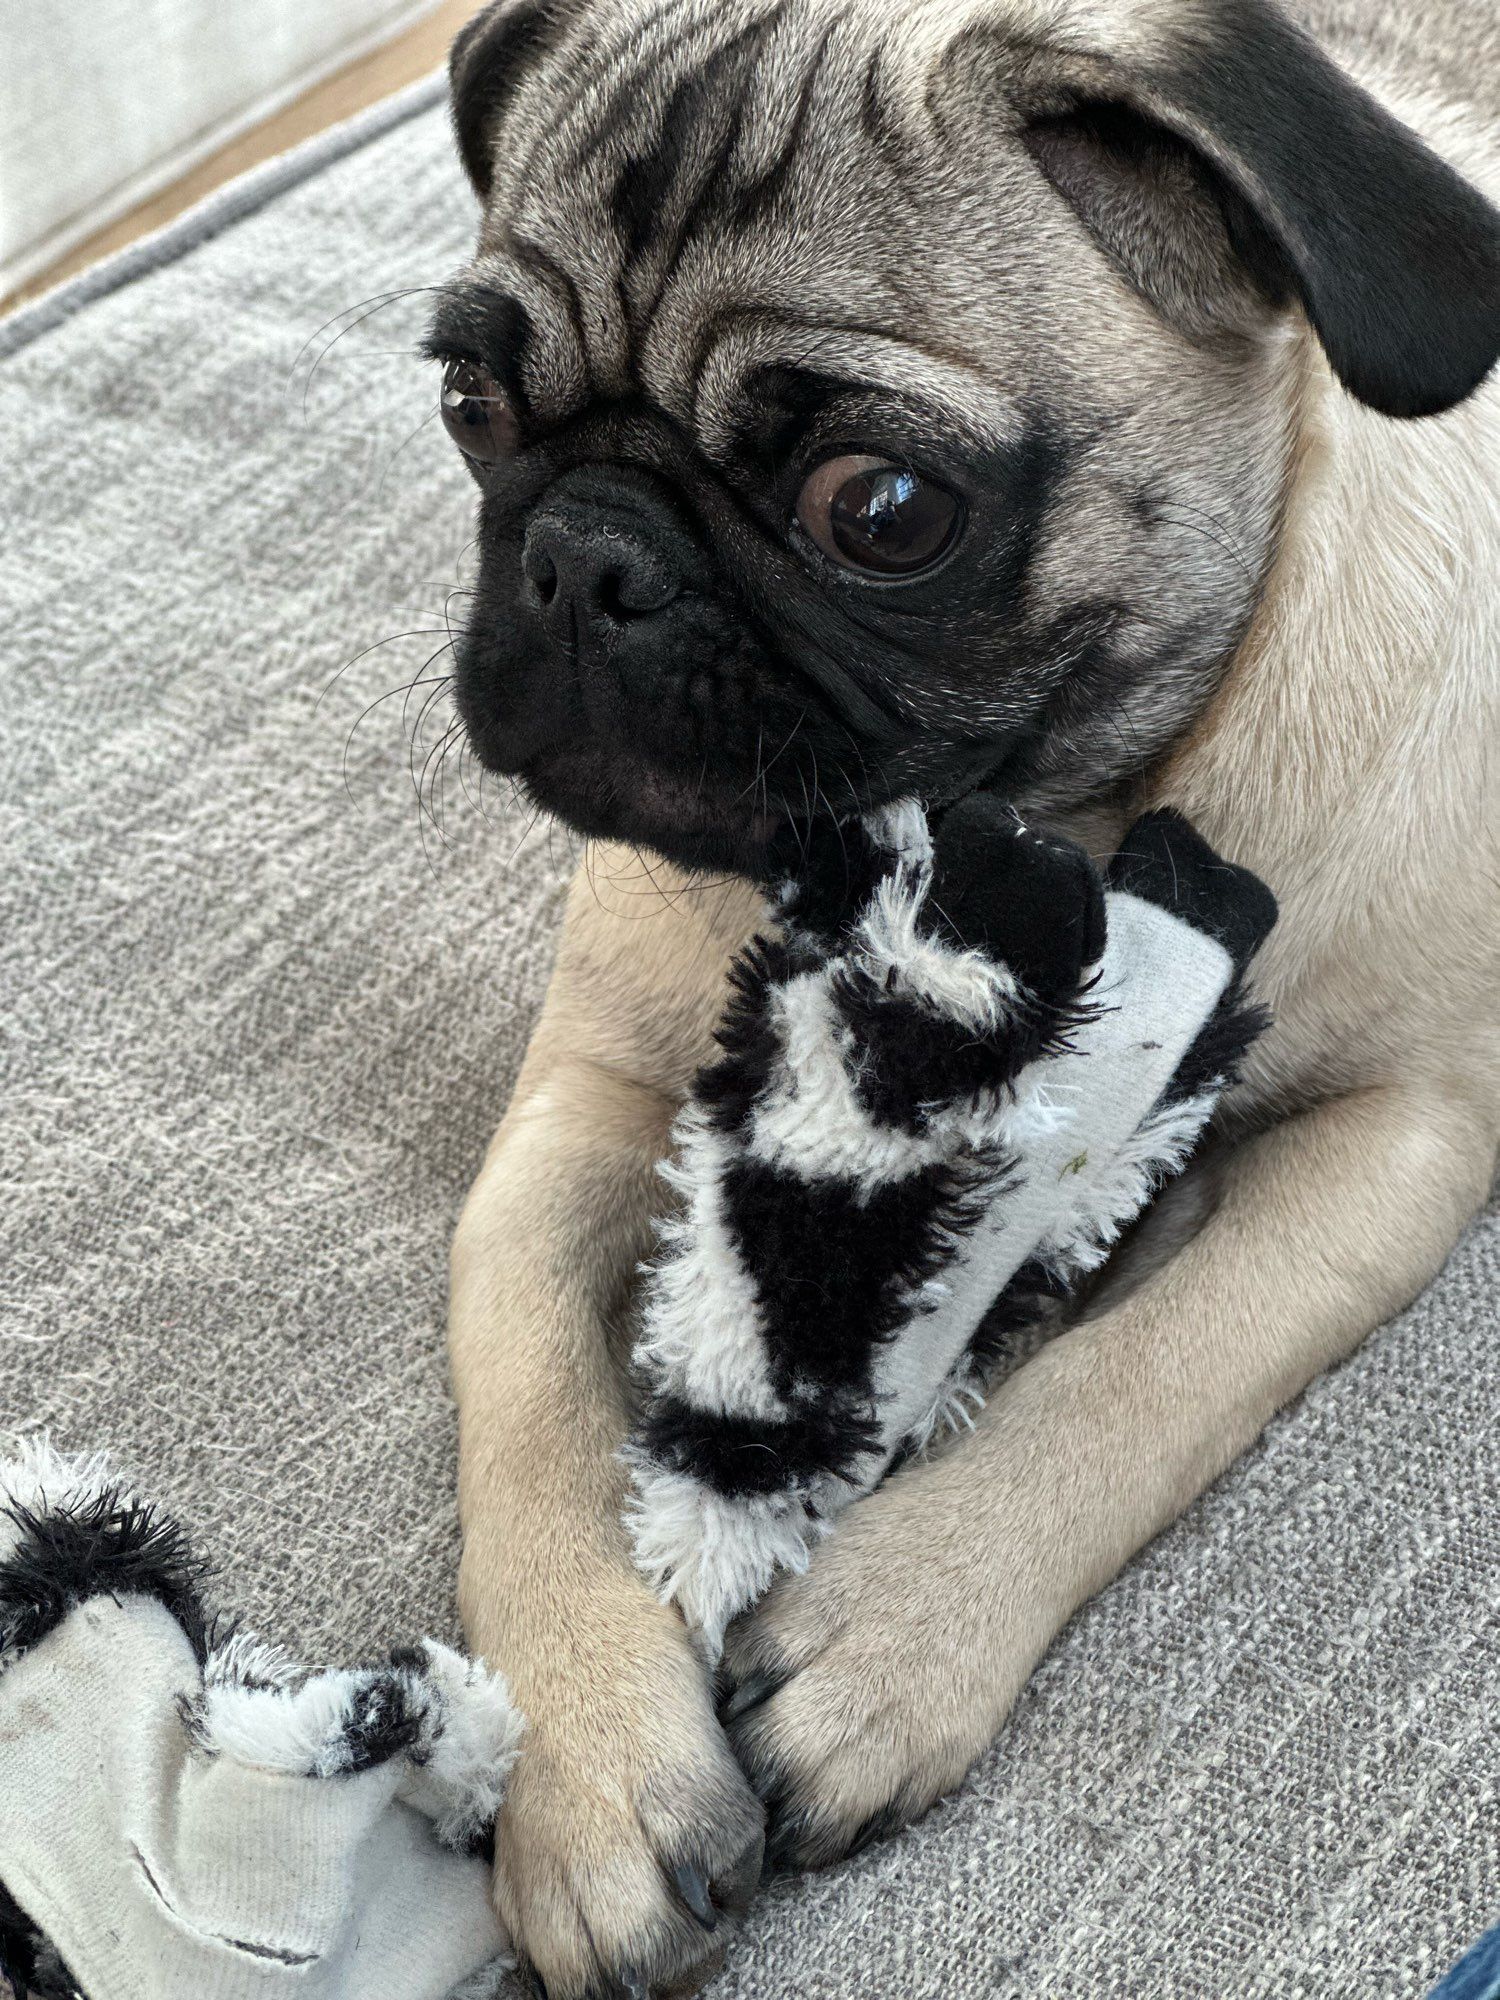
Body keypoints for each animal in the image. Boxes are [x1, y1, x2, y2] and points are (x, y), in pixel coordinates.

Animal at [432, 0, 1500, 1992]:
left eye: (884, 509)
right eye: (469, 412)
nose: (584, 554)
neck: (1027, 832)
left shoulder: (1407, 1133)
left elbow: (1155, 1363)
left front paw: (893, 1632)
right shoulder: (587, 1104)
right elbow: (531, 1392)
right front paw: (585, 1757)